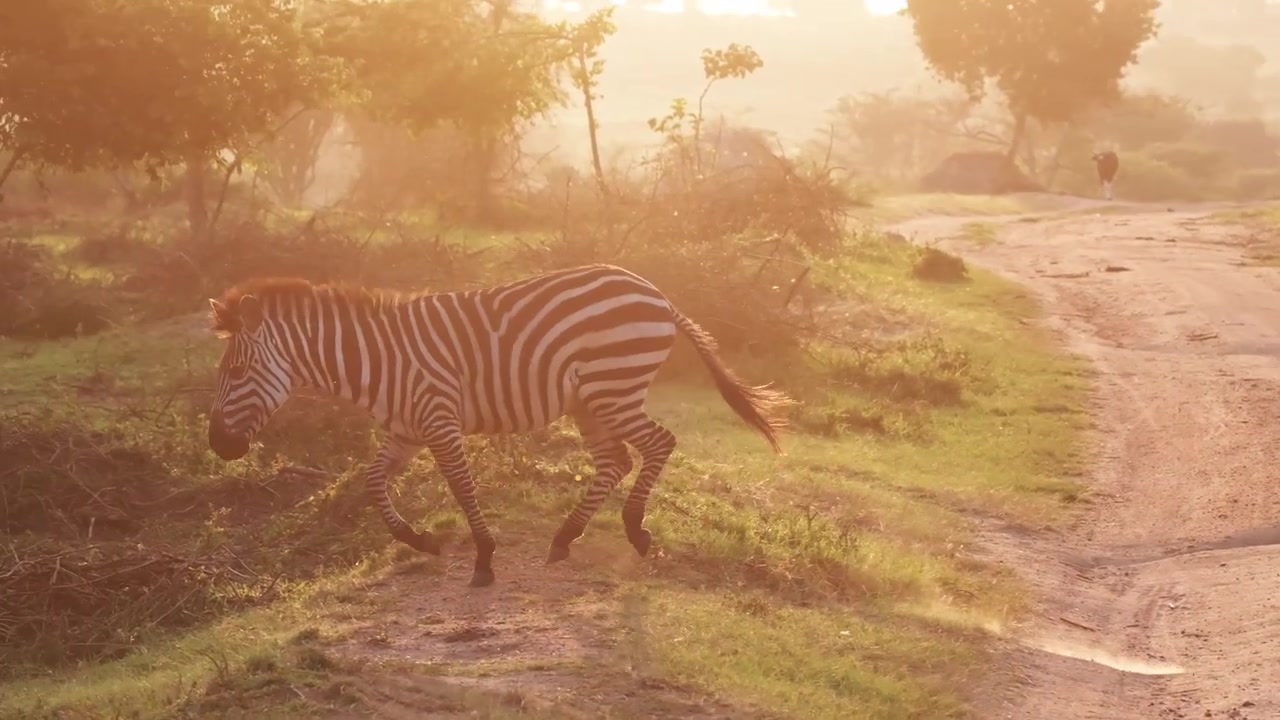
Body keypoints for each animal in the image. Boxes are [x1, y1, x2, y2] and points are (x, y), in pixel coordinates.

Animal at [205, 263, 792, 588]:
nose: (217, 445)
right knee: (616, 460)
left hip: (613, 388)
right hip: (590, 401)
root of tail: (655, 291)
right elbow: (373, 483)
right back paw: (565, 537)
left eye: (235, 372)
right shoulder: (406, 430)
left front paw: (484, 559)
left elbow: (463, 488)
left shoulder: (439, 421)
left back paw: (634, 531)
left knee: (657, 444)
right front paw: (419, 540)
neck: (377, 361)